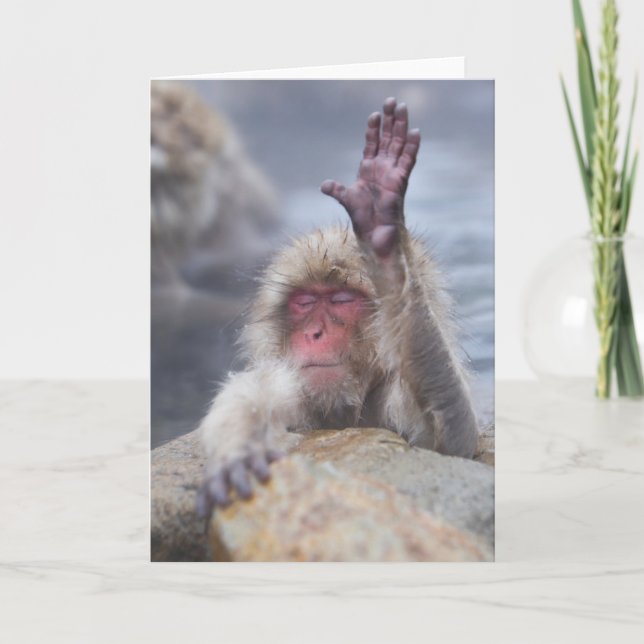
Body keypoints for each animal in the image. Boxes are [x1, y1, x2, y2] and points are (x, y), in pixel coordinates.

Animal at [196, 97, 479, 516]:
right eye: (305, 302)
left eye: (342, 300)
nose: (316, 333)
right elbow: (251, 395)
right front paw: (239, 452)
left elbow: (455, 441)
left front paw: (388, 254)